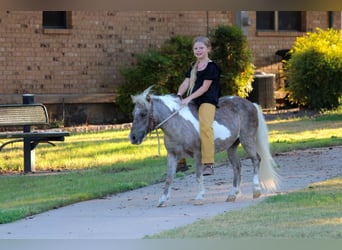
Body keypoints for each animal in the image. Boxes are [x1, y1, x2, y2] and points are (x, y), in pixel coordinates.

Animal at [128, 86, 278, 207]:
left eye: (143, 114)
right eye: (133, 114)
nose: (133, 137)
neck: (178, 123)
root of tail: (251, 104)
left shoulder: (198, 154)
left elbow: (198, 175)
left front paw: (199, 197)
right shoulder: (172, 155)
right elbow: (169, 178)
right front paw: (163, 200)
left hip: (247, 140)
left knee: (256, 160)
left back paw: (256, 190)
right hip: (232, 146)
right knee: (237, 167)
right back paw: (232, 194)